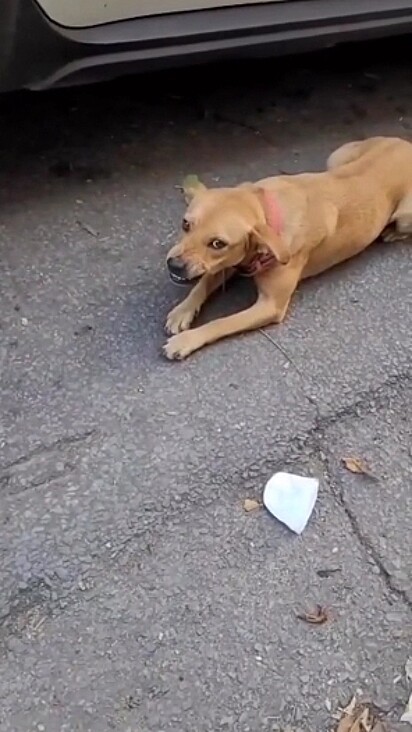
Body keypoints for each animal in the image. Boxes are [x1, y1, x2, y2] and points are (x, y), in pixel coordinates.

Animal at [164, 137, 412, 360]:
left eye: (218, 243)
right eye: (185, 224)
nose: (174, 265)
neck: (265, 211)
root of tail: (406, 143)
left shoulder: (270, 305)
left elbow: (221, 322)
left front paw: (185, 340)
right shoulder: (230, 262)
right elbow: (202, 285)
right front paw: (182, 311)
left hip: (404, 216)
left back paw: (391, 233)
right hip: (336, 158)